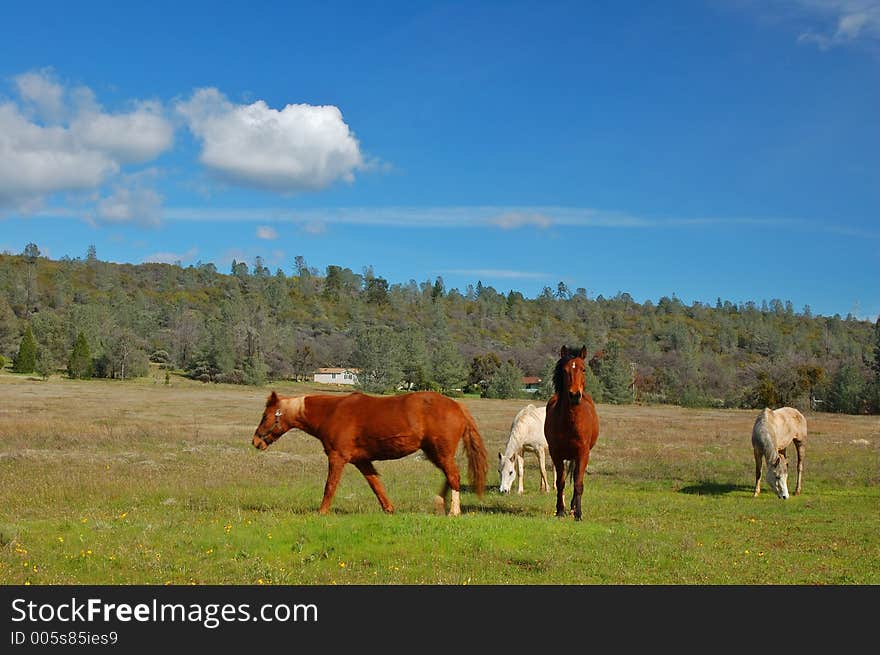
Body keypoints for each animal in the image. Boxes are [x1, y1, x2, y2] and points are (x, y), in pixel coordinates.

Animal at [251, 390, 488, 516]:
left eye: (266, 416)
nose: (255, 441)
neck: (332, 412)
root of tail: (457, 406)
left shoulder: (337, 458)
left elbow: (330, 486)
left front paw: (322, 512)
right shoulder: (363, 461)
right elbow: (376, 486)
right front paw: (389, 509)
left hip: (441, 452)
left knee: (454, 476)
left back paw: (453, 512)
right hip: (434, 453)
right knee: (449, 476)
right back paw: (440, 504)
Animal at [548, 346, 600, 520]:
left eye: (583, 369)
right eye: (565, 371)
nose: (575, 395)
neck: (570, 421)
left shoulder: (583, 453)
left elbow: (578, 483)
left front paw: (578, 513)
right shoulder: (556, 454)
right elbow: (560, 482)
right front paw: (560, 511)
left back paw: (573, 507)